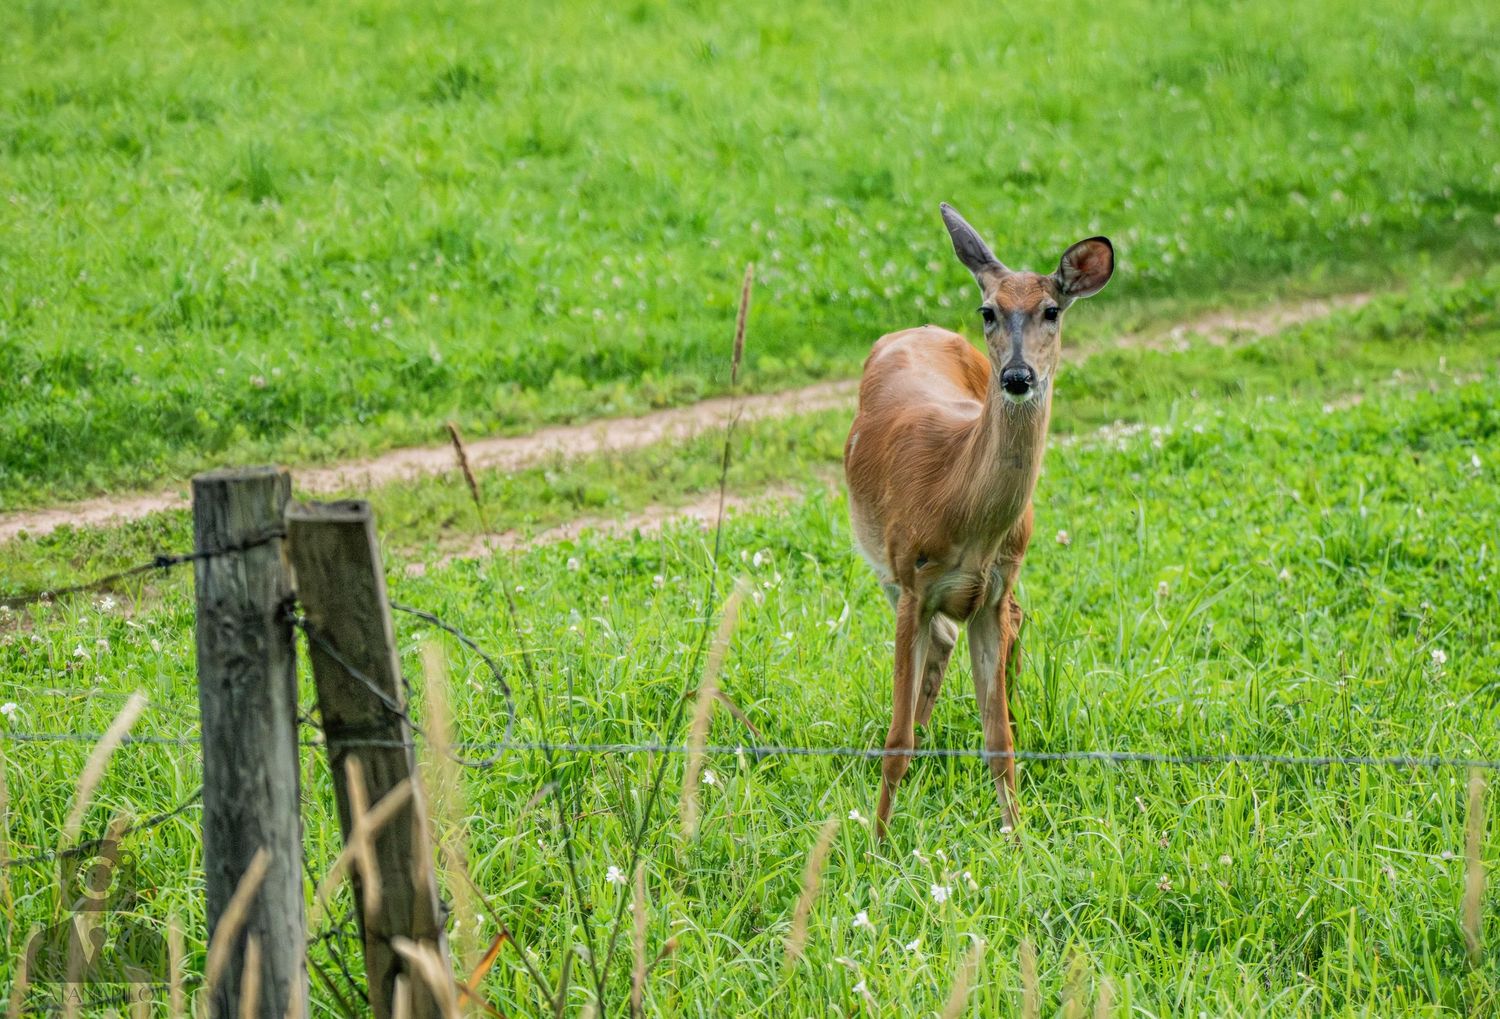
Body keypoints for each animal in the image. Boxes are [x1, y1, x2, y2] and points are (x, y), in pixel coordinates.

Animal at [843, 203, 1114, 836]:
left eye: (1052, 310)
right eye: (988, 310)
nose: (1017, 376)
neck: (956, 498)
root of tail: (918, 329)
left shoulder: (989, 591)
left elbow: (1000, 742)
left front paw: (1017, 842)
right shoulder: (913, 578)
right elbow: (894, 740)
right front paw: (876, 842)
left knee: (1006, 622)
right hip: (885, 570)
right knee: (939, 643)